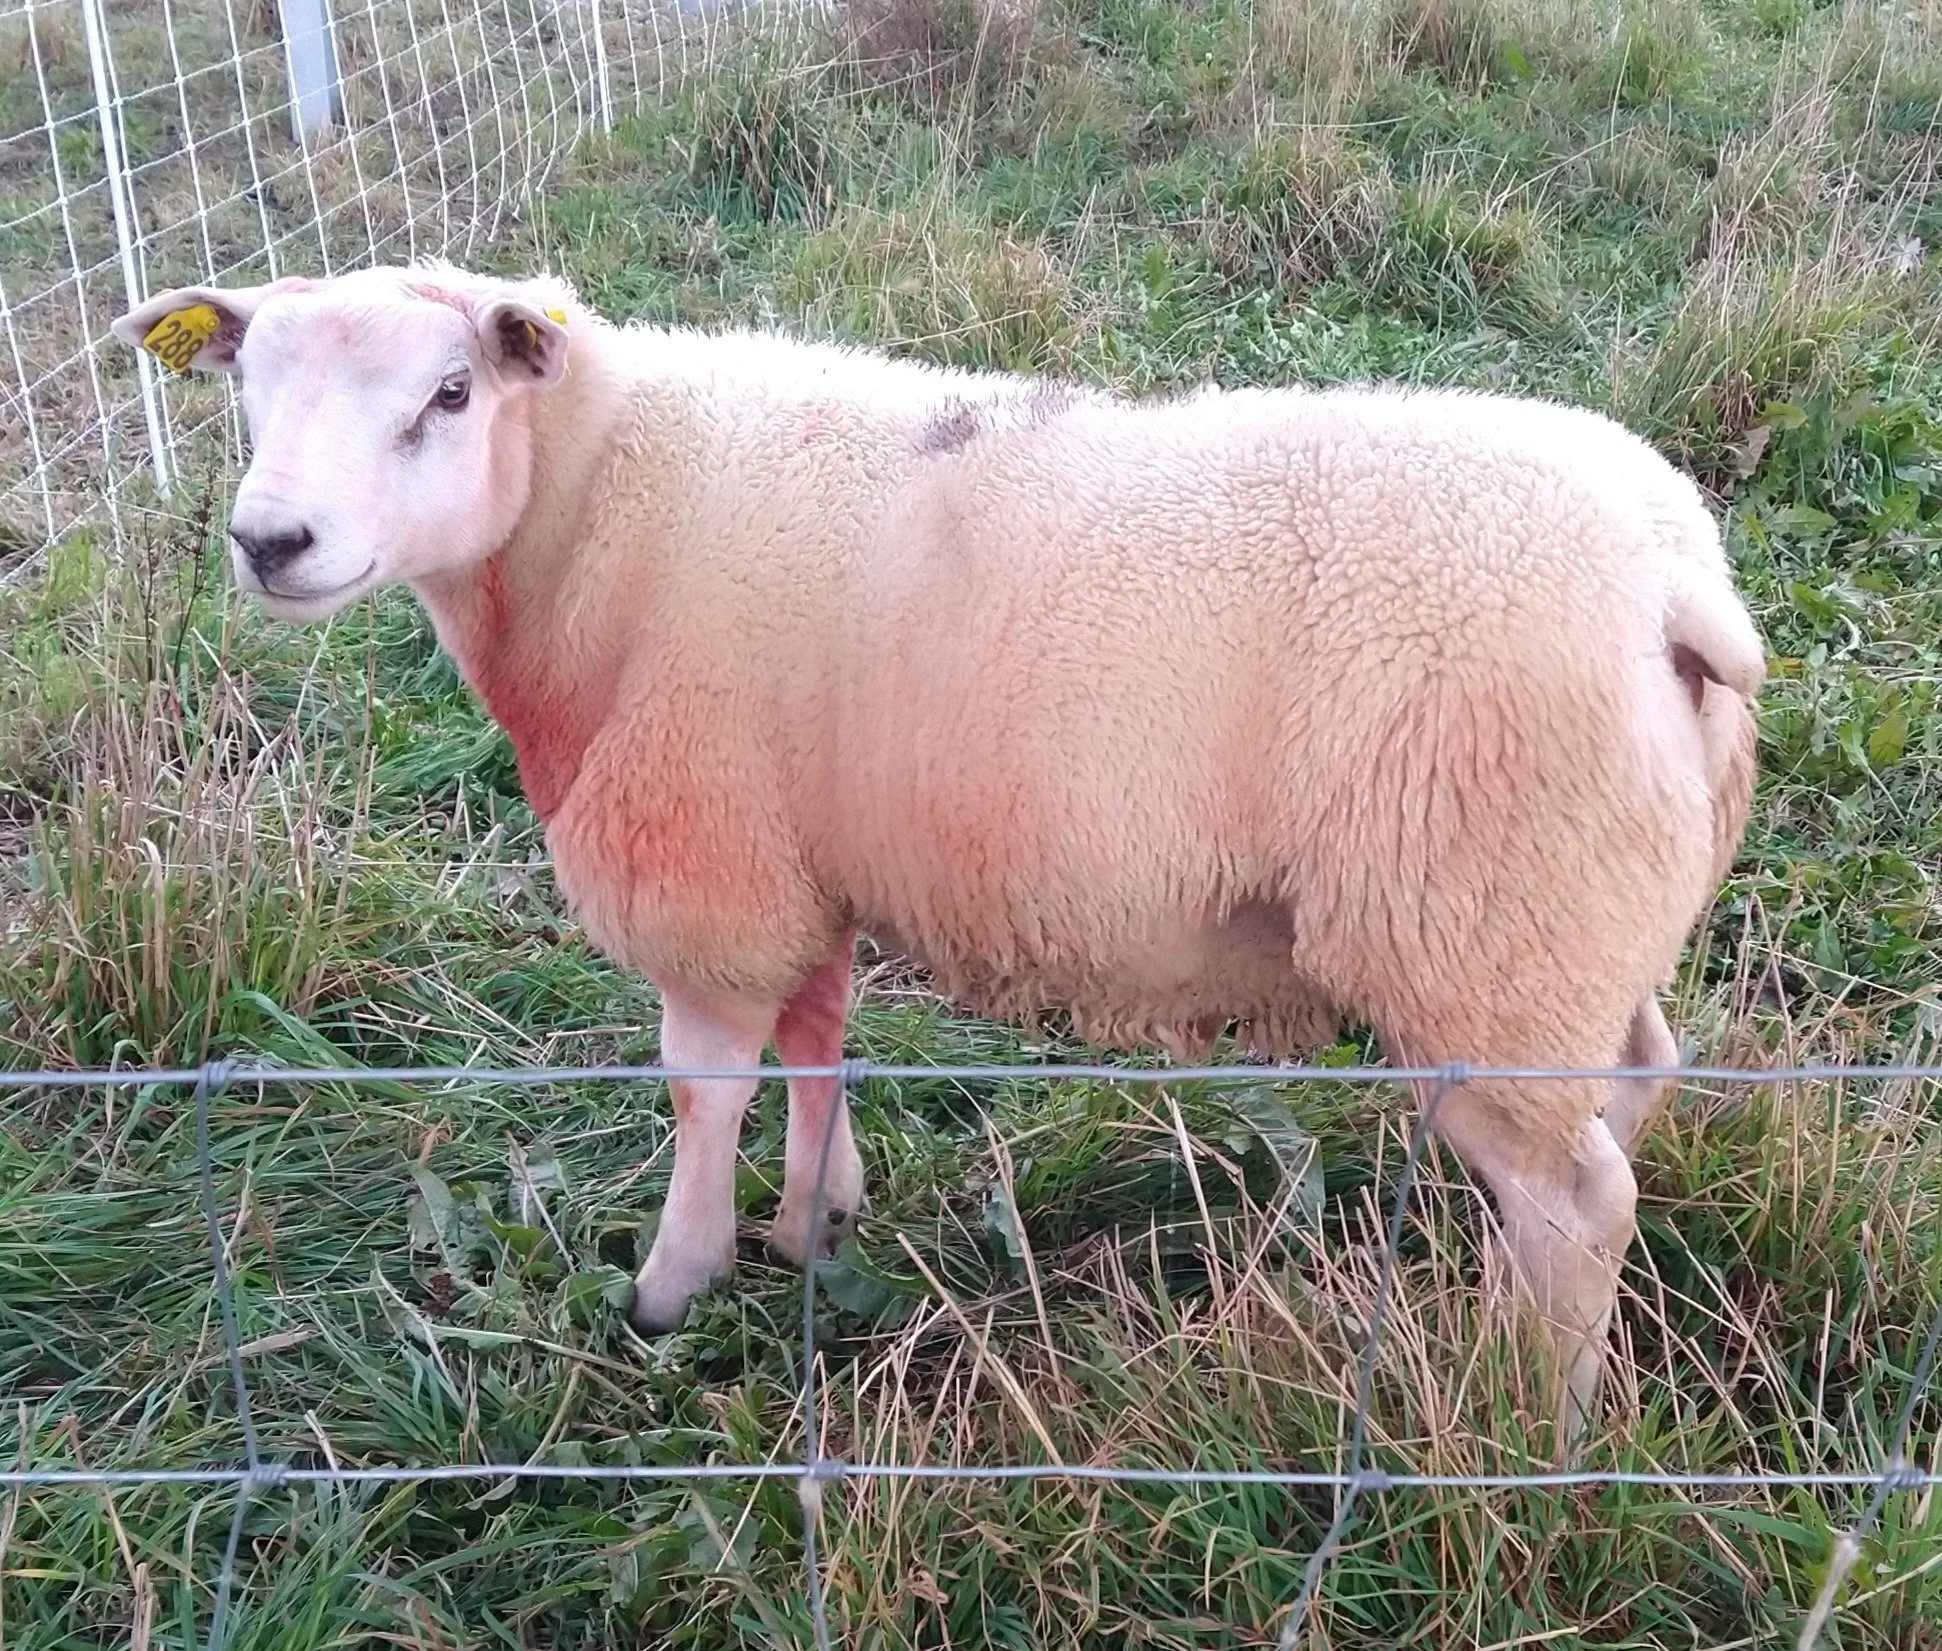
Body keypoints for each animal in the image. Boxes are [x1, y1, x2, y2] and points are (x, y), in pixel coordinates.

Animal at [115, 263, 1764, 1430]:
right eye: (244, 382)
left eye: (450, 391)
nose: (270, 541)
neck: (596, 513)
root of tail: (1675, 583)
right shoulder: (798, 854)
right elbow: (818, 1037)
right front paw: (814, 1212)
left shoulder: (707, 860)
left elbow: (704, 1082)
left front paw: (673, 1280)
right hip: (1567, 924)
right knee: (1624, 1094)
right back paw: (1499, 1316)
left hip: (1478, 924)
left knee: (1577, 1200)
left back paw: (1525, 1417)